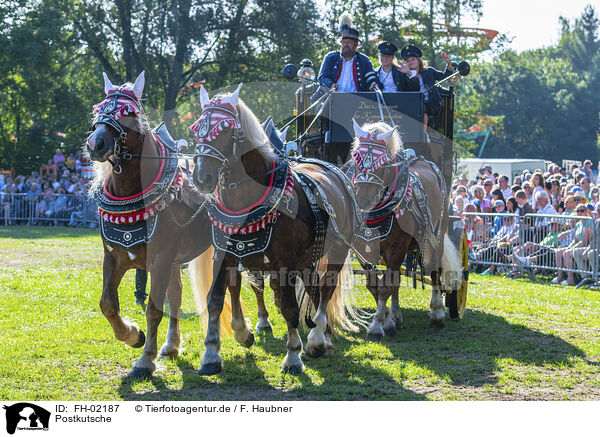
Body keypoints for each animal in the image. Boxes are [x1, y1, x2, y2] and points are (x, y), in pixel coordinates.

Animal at [190, 85, 364, 374]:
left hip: (337, 251)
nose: (201, 178)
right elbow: (215, 299)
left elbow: (291, 308)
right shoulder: (225, 256)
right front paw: (214, 353)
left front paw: (293, 356)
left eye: (224, 130)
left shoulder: (284, 263)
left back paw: (317, 339)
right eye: (196, 130)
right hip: (308, 257)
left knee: (326, 290)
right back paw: (324, 339)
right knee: (315, 290)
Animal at [350, 120, 462, 340]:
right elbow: (375, 285)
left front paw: (377, 326)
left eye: (383, 164)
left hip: (438, 236)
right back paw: (396, 316)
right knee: (397, 280)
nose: (363, 201)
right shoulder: (364, 250)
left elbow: (385, 286)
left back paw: (437, 314)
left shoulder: (398, 247)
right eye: (356, 157)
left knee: (435, 271)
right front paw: (387, 320)